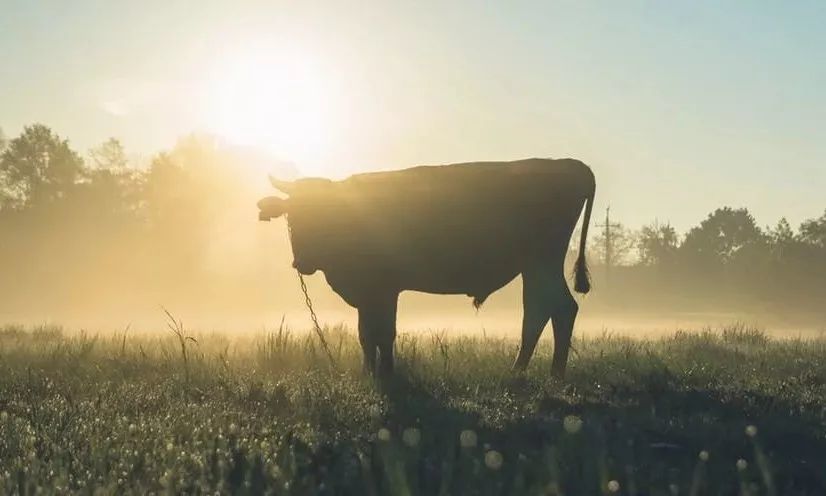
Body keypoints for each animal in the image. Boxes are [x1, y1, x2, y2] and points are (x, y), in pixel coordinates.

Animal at [258, 159, 592, 380]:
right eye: (292, 216)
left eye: (323, 212)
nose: (302, 262)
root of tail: (571, 165)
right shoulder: (369, 293)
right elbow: (366, 333)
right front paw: (369, 372)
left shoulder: (384, 289)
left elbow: (383, 332)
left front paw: (386, 373)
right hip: (535, 267)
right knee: (549, 310)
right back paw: (539, 371)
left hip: (541, 262)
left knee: (550, 310)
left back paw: (537, 372)